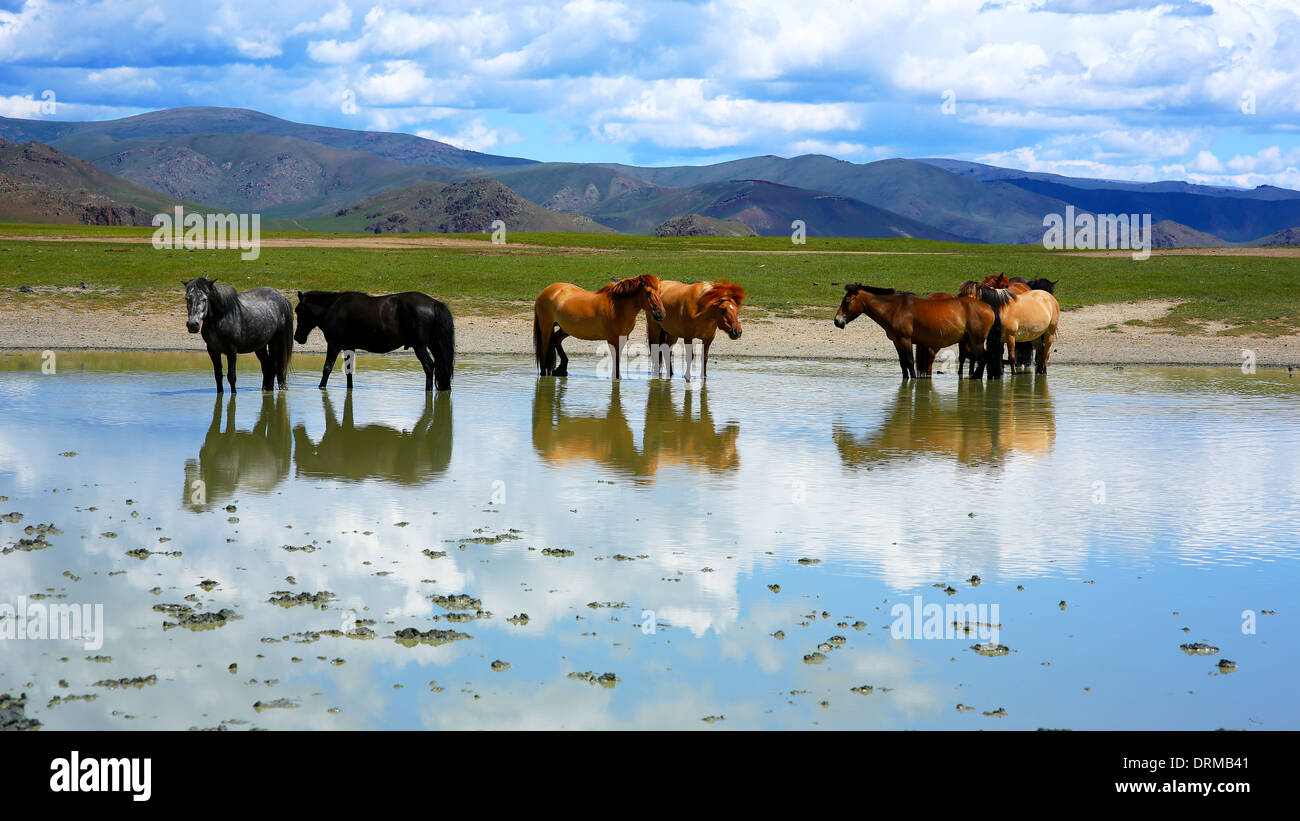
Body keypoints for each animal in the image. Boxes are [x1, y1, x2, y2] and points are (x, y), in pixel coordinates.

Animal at [294, 291, 454, 392]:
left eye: (298, 310)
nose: (297, 337)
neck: (333, 308)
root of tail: (433, 303)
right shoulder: (349, 346)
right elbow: (349, 371)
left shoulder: (334, 344)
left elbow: (327, 368)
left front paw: (321, 387)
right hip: (434, 345)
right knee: (441, 366)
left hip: (419, 346)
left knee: (429, 366)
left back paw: (428, 390)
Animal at [533, 274, 666, 379]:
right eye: (648, 292)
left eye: (660, 292)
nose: (661, 314)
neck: (618, 307)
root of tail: (547, 291)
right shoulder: (613, 339)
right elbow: (616, 360)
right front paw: (616, 378)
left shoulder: (622, 338)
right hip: (546, 327)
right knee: (544, 350)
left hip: (565, 329)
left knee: (556, 339)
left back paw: (562, 369)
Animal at [833, 284, 1003, 379]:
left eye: (847, 301)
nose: (837, 321)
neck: (894, 308)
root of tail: (989, 307)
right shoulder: (897, 341)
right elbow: (903, 363)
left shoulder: (905, 339)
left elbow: (909, 361)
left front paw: (913, 380)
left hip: (977, 341)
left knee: (984, 358)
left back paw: (975, 378)